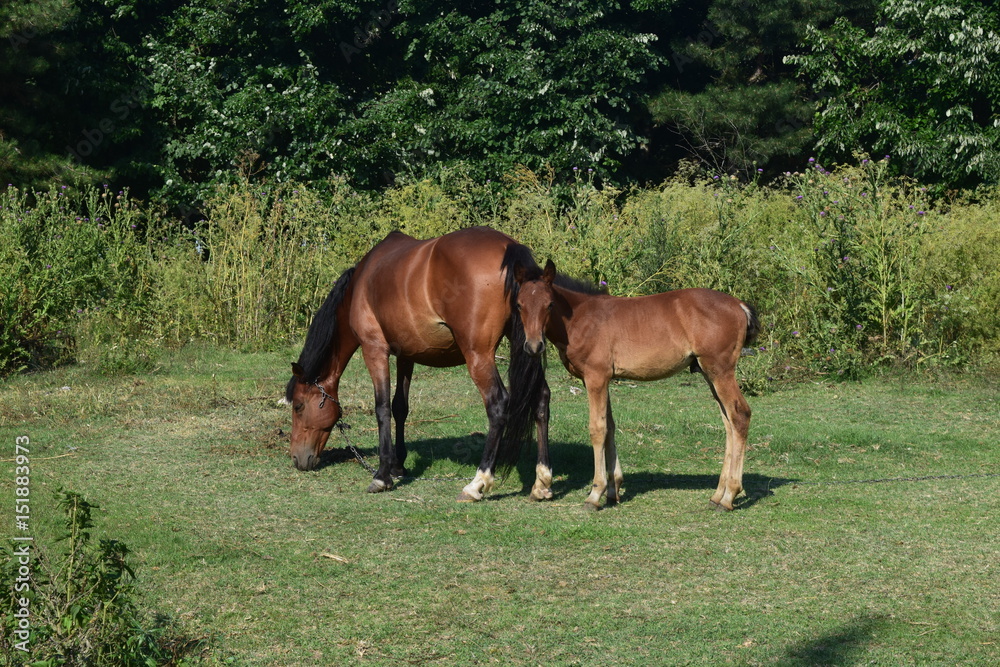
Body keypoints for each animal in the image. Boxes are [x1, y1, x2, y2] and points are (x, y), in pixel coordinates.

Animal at [286, 226, 554, 502]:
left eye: (298, 406)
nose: (297, 458)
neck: (361, 285)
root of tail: (509, 247)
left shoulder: (374, 350)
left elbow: (382, 408)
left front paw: (382, 475)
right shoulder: (407, 355)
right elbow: (399, 407)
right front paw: (398, 465)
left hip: (479, 356)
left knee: (498, 404)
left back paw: (477, 483)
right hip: (529, 346)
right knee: (541, 398)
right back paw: (542, 481)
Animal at [514, 259, 760, 511]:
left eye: (549, 304)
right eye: (519, 305)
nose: (534, 346)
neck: (581, 318)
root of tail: (739, 305)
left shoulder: (595, 378)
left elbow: (597, 429)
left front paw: (595, 494)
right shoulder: (603, 379)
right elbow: (610, 426)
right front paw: (613, 491)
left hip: (720, 370)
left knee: (740, 414)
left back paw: (729, 496)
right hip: (710, 373)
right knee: (728, 421)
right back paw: (717, 495)